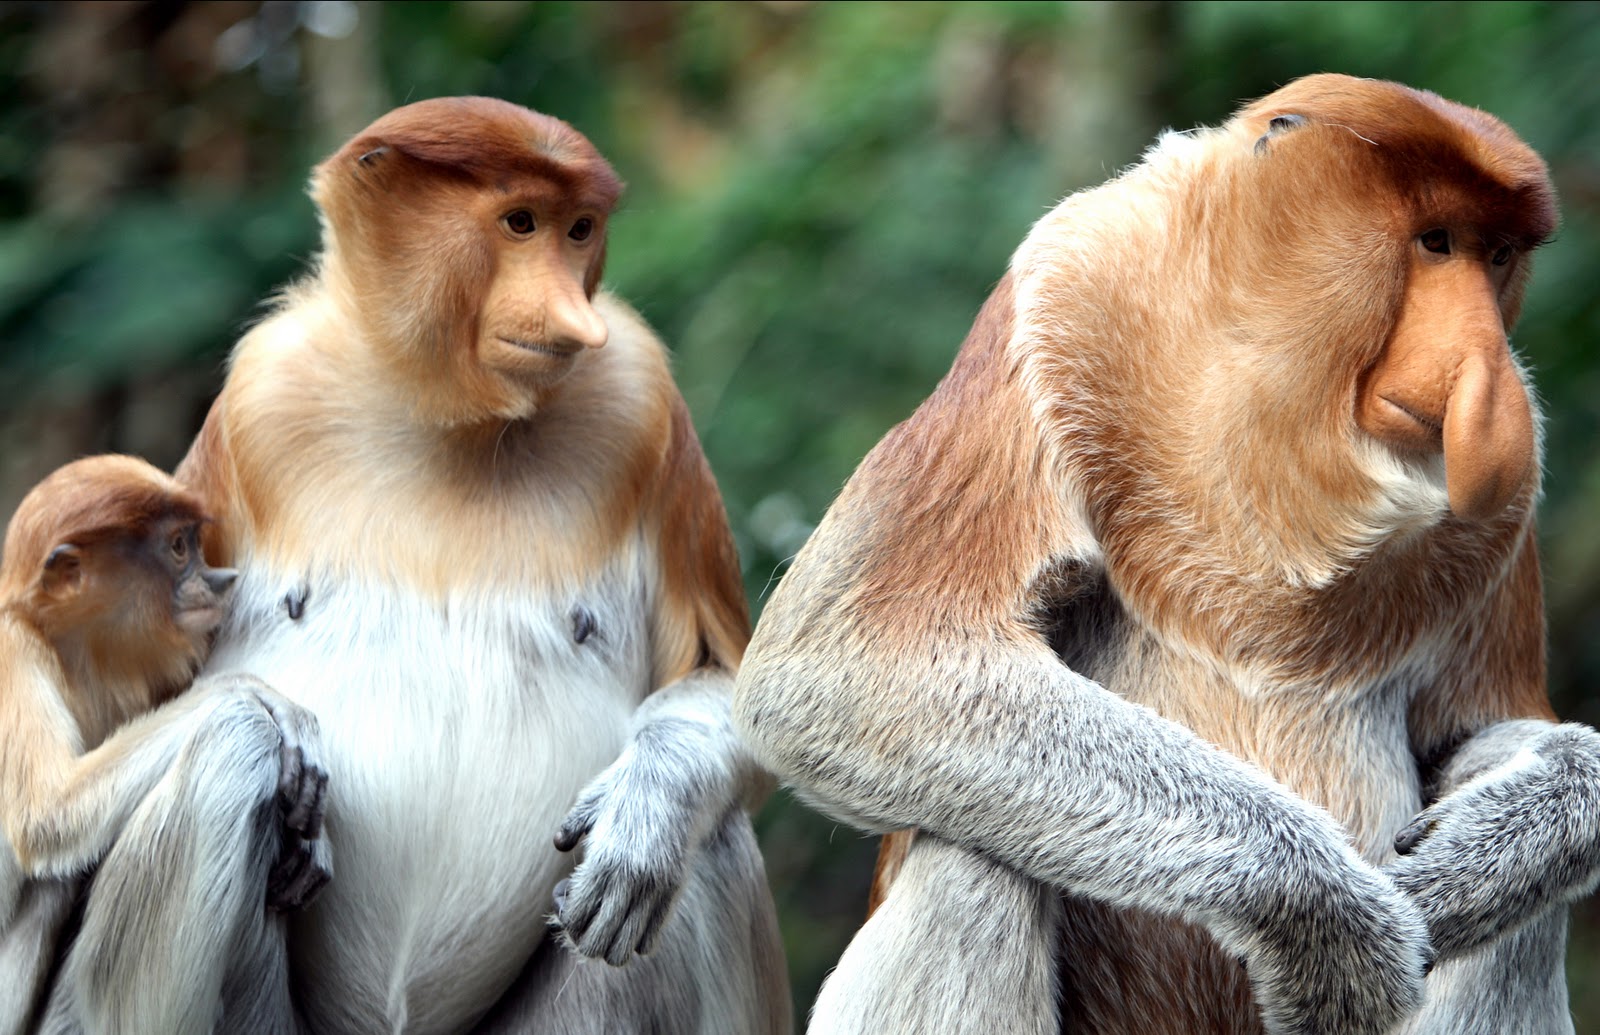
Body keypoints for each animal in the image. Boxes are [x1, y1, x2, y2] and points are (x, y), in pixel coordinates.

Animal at [0, 457, 328, 1030]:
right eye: (178, 547)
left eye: (194, 543)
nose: (222, 578)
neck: (78, 653)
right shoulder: (11, 653)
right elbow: (49, 816)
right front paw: (263, 697)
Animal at [736, 74, 1600, 1035]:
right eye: (1438, 241)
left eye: (1499, 256)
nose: (1489, 374)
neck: (1266, 390)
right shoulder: (1063, 298)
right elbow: (837, 666)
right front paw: (1328, 917)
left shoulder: (1503, 510)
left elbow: (1473, 733)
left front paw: (1515, 839)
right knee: (972, 857)